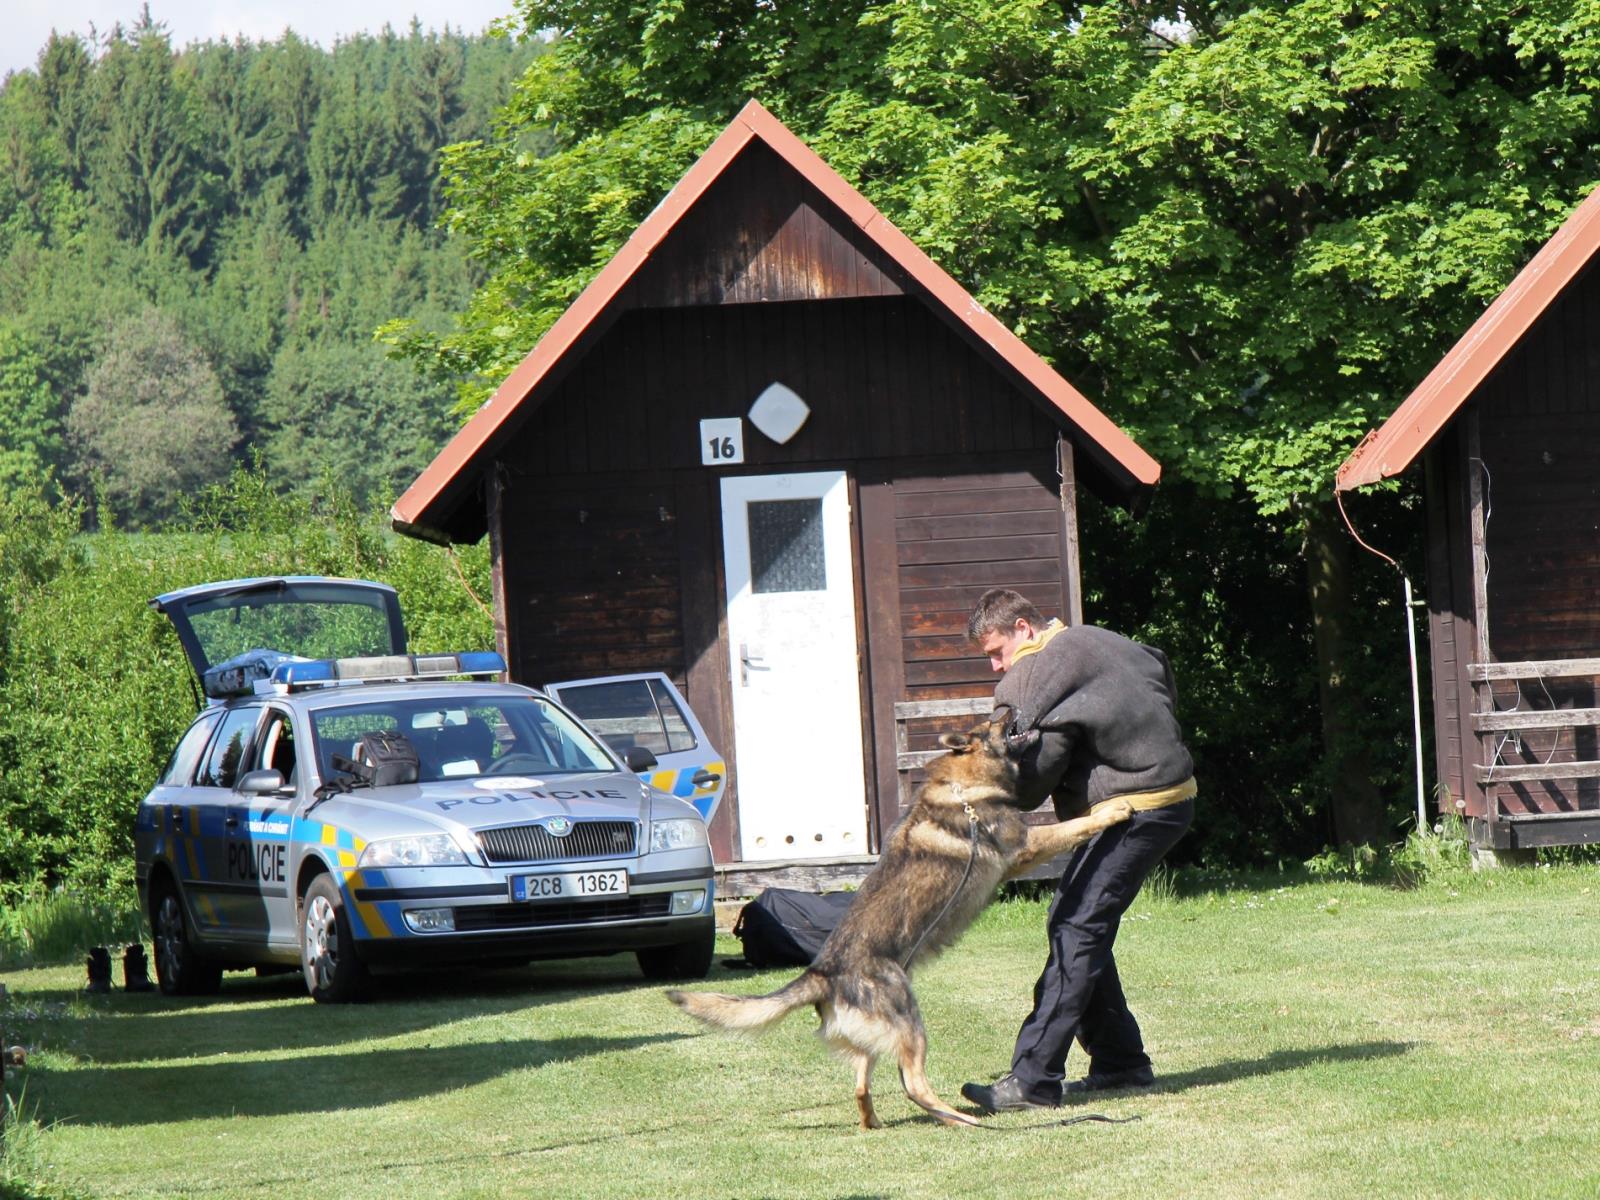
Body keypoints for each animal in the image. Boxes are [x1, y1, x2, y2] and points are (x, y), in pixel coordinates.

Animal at [668, 720, 1132, 1132]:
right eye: (993, 723)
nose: (1013, 710)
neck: (963, 787)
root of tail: (823, 973)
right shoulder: (1027, 844)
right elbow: (1074, 825)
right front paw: (1114, 808)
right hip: (910, 1022)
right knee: (913, 1085)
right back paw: (959, 1117)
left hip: (875, 1037)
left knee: (861, 1084)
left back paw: (876, 1121)